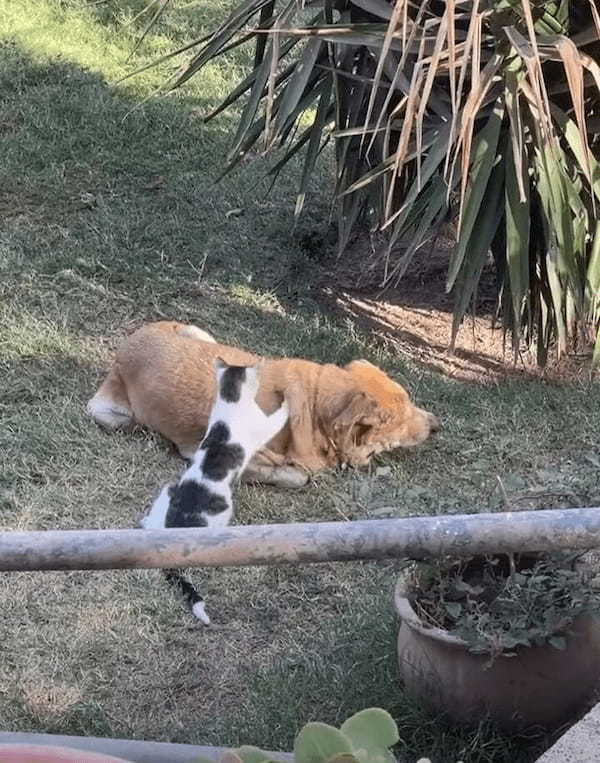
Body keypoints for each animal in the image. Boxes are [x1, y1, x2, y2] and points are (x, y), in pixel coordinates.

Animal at [86, 322, 438, 490]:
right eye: (400, 419)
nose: (437, 425)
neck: (314, 404)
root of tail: (127, 345)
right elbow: (298, 476)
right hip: (109, 415)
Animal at [142, 358, 290, 628]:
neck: (231, 403)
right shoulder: (262, 426)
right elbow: (279, 417)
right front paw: (287, 398)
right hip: (224, 508)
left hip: (168, 489)